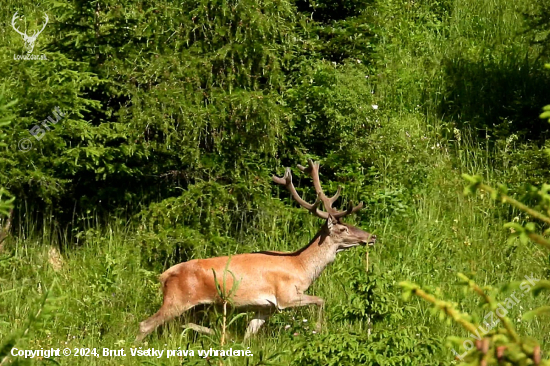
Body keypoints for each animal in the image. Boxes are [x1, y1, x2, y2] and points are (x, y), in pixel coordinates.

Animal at [137, 160, 380, 344]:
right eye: (343, 228)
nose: (372, 237)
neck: (301, 266)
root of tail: (164, 275)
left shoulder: (266, 307)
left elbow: (249, 334)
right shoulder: (285, 296)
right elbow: (321, 300)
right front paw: (319, 330)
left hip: (195, 306)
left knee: (181, 323)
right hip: (176, 300)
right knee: (144, 325)